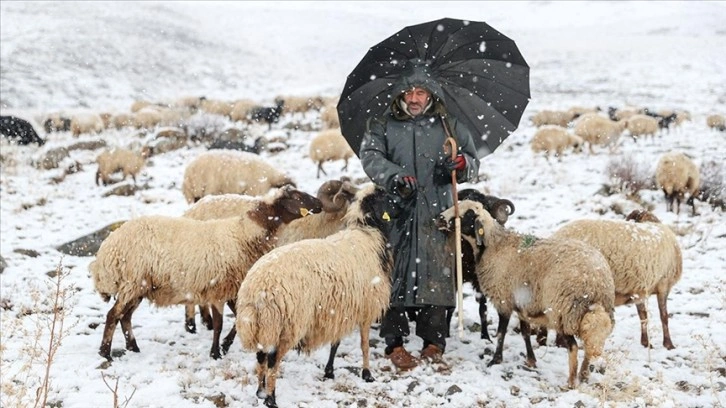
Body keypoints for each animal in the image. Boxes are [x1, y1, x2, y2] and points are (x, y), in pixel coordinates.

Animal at [88, 185, 322, 360]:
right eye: (298, 196)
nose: (320, 204)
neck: (244, 234)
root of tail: (106, 251)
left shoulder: (232, 288)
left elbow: (238, 320)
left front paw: (225, 346)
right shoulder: (218, 288)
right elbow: (219, 324)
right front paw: (216, 352)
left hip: (139, 286)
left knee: (125, 317)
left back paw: (133, 347)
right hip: (133, 282)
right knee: (113, 315)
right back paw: (105, 353)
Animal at [236, 186, 396, 408]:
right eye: (384, 196)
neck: (368, 232)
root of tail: (257, 288)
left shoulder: (341, 308)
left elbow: (336, 342)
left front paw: (329, 372)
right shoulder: (367, 306)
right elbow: (364, 344)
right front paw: (367, 374)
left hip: (267, 326)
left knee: (261, 356)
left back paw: (260, 391)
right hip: (288, 323)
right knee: (273, 360)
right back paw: (271, 398)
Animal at [438, 201, 616, 388]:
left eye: (466, 214)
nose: (440, 218)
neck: (493, 246)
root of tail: (596, 280)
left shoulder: (504, 300)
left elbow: (501, 333)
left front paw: (495, 360)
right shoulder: (522, 305)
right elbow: (525, 333)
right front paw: (531, 360)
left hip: (563, 311)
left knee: (573, 346)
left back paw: (572, 381)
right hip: (585, 313)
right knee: (589, 343)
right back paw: (584, 375)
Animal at [556, 210, 684, 350]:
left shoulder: (638, 290)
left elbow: (643, 316)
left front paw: (646, 343)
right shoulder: (663, 284)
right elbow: (664, 316)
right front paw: (668, 344)